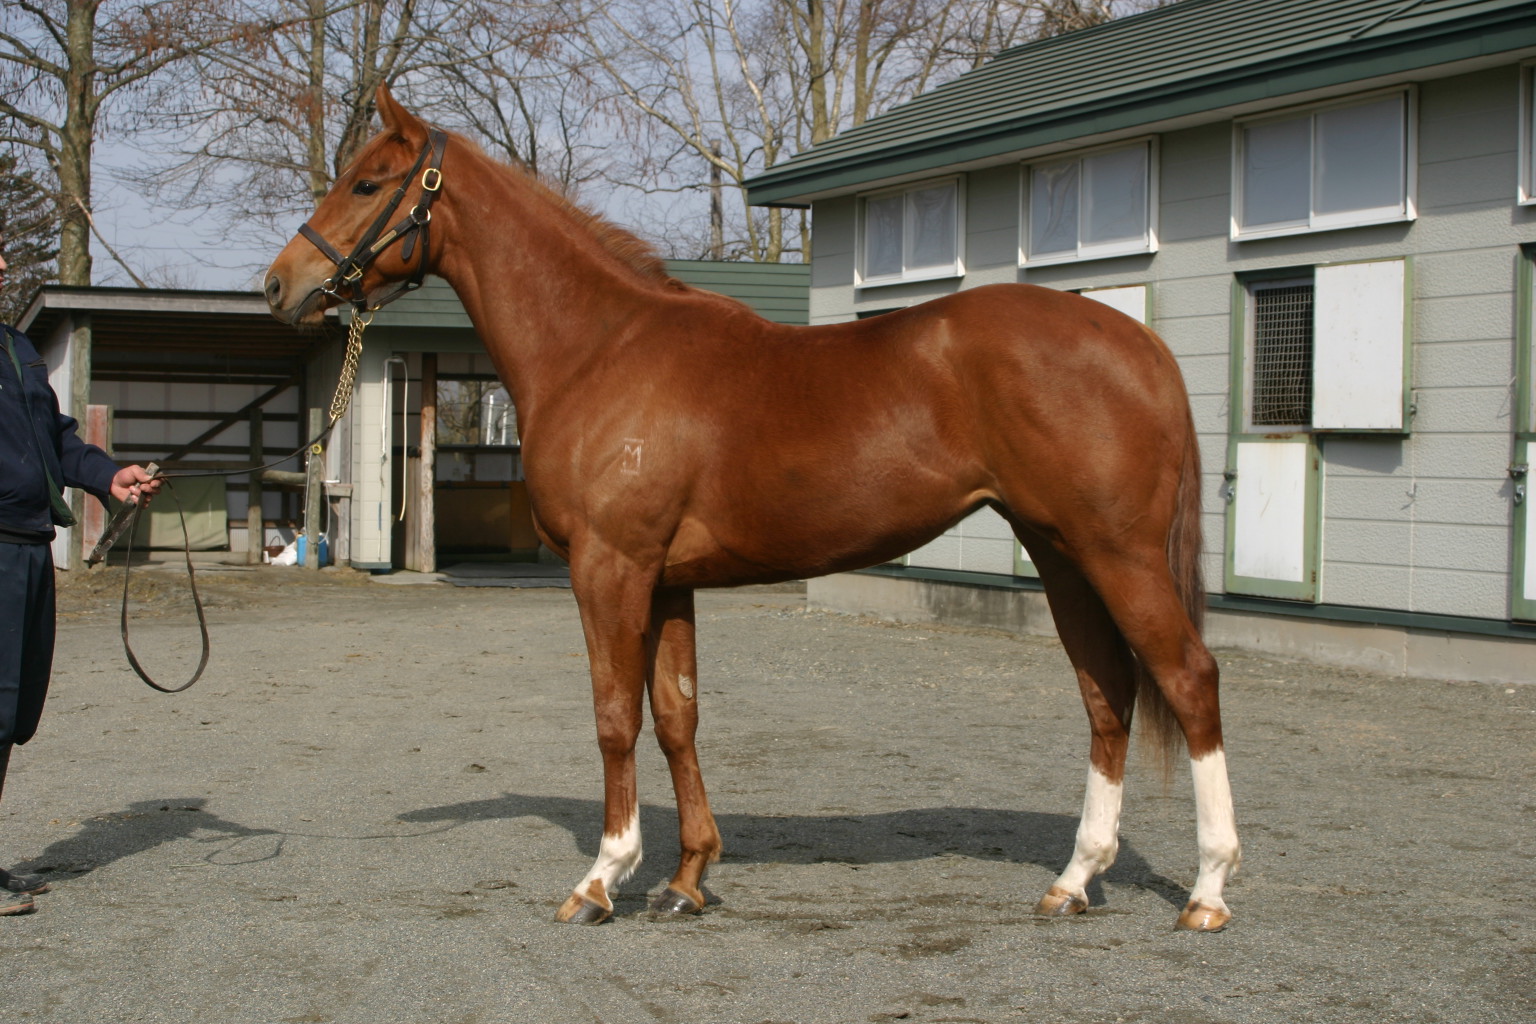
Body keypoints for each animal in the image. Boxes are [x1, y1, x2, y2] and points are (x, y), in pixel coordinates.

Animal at [264, 85, 1240, 932]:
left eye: (366, 182)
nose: (280, 284)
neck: (600, 348)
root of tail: (1138, 341)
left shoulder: (610, 567)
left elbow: (615, 717)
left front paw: (603, 878)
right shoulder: (666, 581)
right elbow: (677, 717)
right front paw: (687, 878)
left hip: (1116, 553)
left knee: (1189, 681)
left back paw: (1207, 891)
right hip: (1061, 554)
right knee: (1108, 695)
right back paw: (1074, 881)